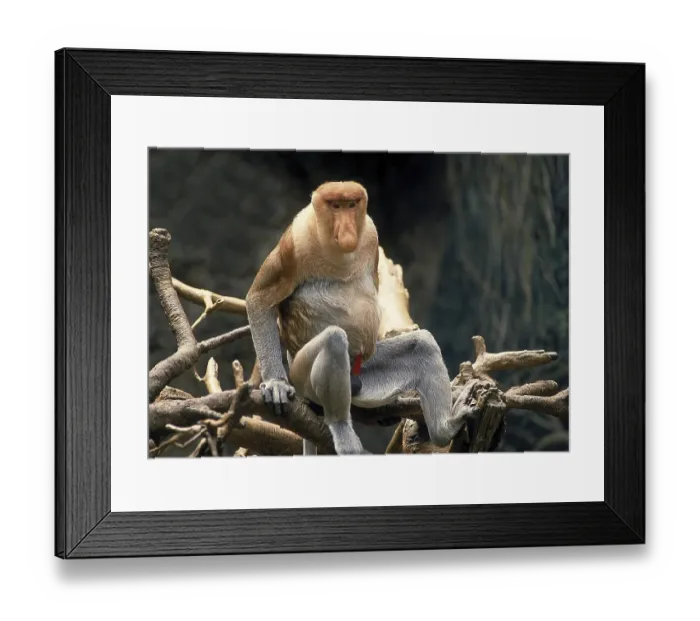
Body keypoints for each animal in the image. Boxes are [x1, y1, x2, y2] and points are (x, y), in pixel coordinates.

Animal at [245, 181, 464, 455]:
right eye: (335, 206)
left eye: (351, 205)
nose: (347, 230)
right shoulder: (295, 241)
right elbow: (259, 298)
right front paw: (276, 384)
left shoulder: (369, 233)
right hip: (302, 376)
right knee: (334, 340)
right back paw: (341, 429)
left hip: (365, 373)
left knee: (422, 345)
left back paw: (445, 429)